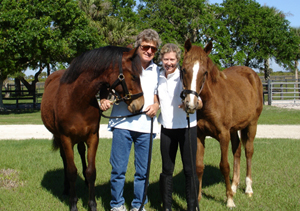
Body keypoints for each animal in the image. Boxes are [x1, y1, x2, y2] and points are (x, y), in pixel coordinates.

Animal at [41, 45, 144, 210]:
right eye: (134, 76)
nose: (140, 104)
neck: (77, 100)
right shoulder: (66, 139)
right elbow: (71, 171)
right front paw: (73, 204)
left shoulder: (92, 137)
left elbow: (91, 171)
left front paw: (92, 204)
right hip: (60, 137)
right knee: (64, 159)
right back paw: (66, 188)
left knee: (81, 152)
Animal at [180, 39, 262, 208]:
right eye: (184, 70)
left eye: (204, 72)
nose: (190, 104)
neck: (211, 100)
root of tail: (253, 75)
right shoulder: (200, 135)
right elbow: (199, 166)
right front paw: (198, 198)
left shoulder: (223, 135)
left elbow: (224, 166)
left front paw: (229, 200)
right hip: (234, 129)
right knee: (237, 151)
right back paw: (234, 187)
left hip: (252, 124)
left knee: (248, 151)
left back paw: (248, 188)